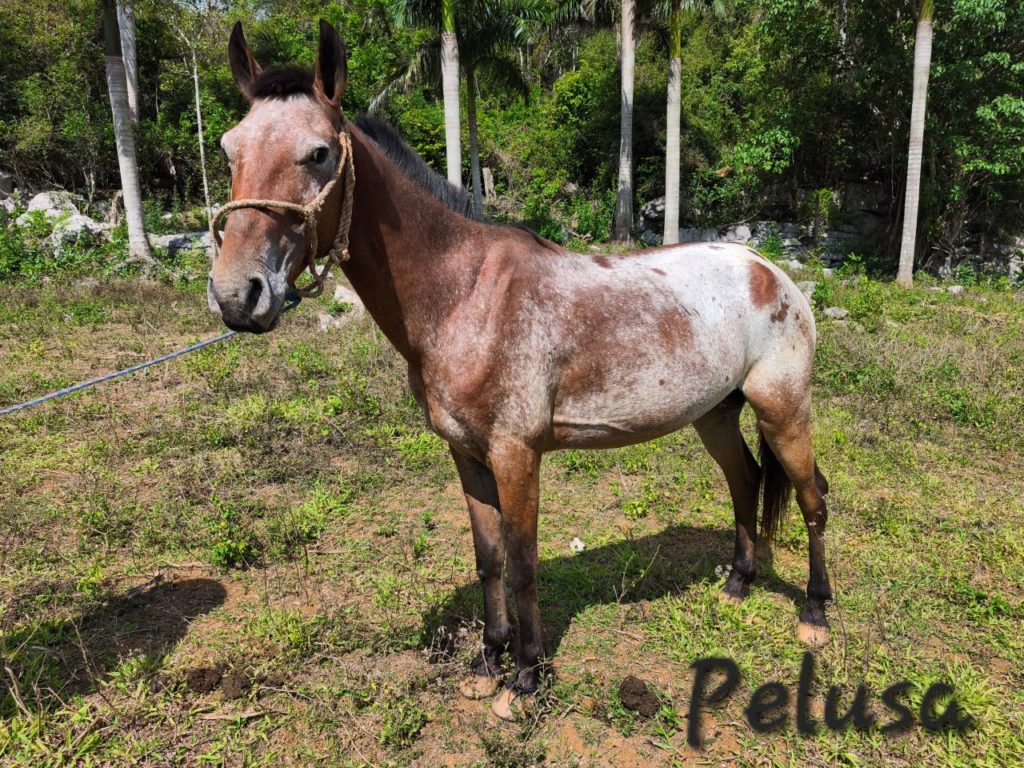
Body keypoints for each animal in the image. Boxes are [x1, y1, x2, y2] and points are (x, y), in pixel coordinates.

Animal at [208, 20, 834, 720]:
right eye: (230, 149)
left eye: (317, 153)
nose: (238, 296)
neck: (464, 295)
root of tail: (770, 271)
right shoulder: (467, 454)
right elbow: (489, 559)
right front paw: (488, 661)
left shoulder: (516, 454)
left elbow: (524, 559)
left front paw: (528, 674)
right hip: (715, 415)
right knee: (746, 481)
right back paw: (737, 583)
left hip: (783, 409)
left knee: (811, 498)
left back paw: (814, 613)